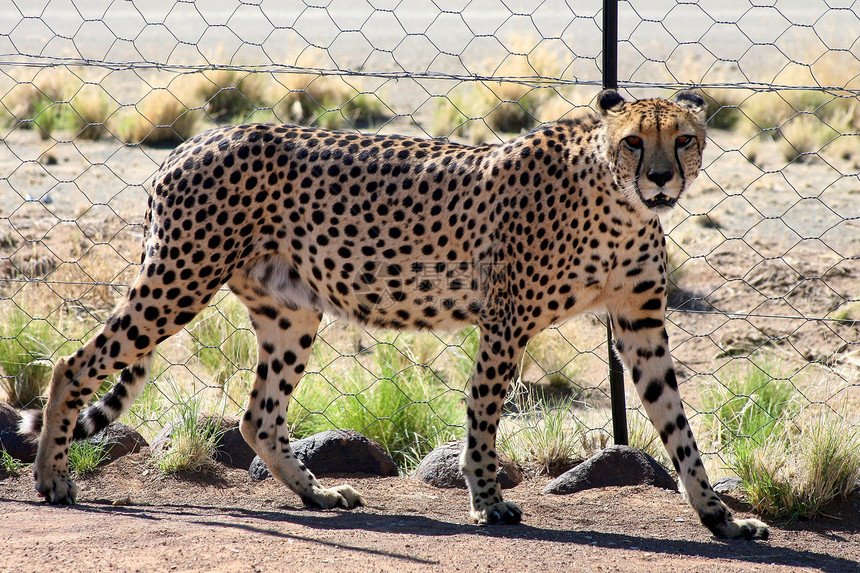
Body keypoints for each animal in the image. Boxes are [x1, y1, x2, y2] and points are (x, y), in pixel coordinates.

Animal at [21, 87, 764, 540]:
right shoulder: (506, 322)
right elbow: (484, 414)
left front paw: (720, 518)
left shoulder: (640, 325)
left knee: (257, 415)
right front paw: (486, 500)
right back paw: (52, 476)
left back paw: (317, 495)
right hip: (179, 278)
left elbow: (679, 428)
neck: (619, 203)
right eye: (635, 141)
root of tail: (194, 141)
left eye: (685, 138)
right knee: (74, 363)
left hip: (290, 311)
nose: (662, 178)